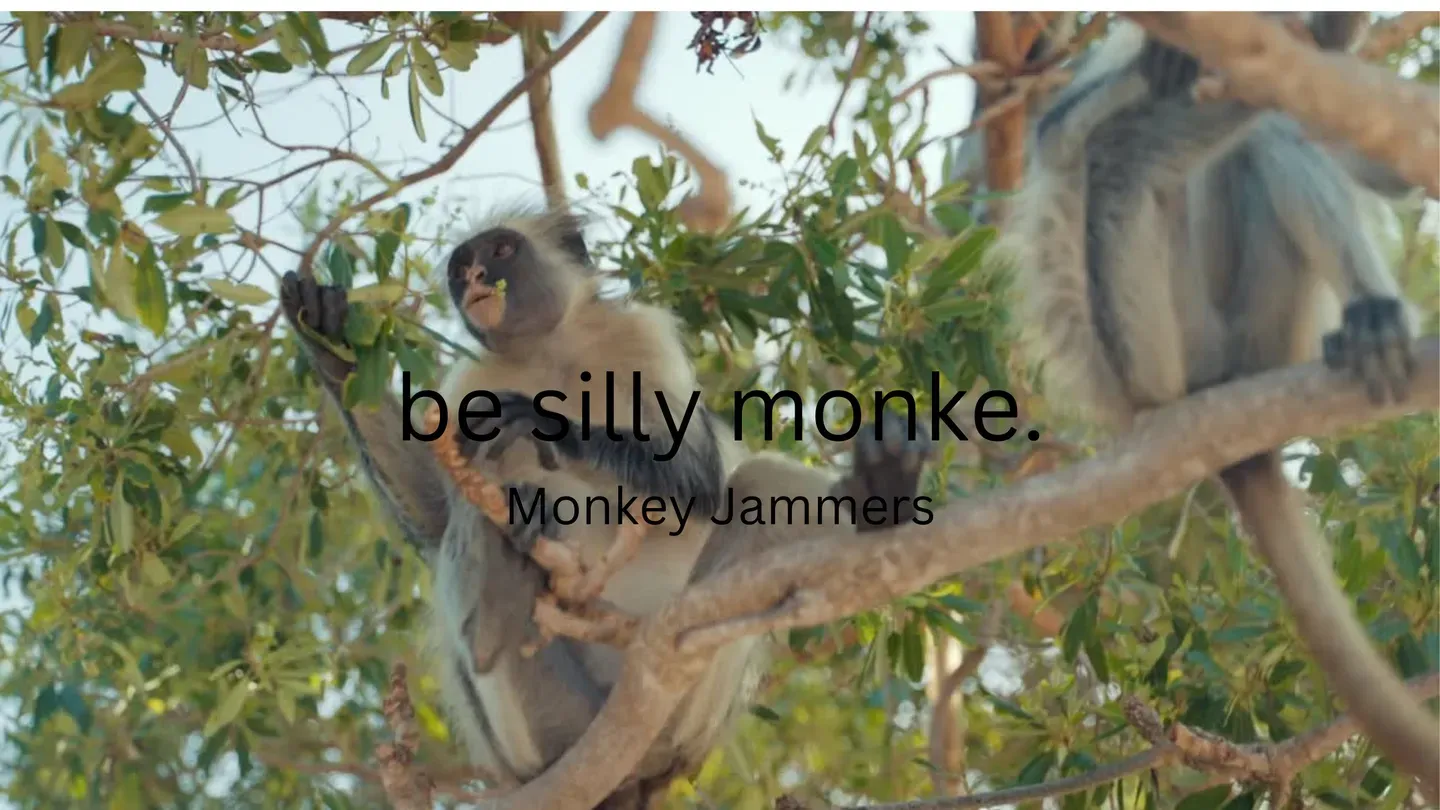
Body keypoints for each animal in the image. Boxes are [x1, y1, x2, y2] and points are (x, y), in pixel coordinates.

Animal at [279, 204, 935, 808]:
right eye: (461, 267)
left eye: (500, 251)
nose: (474, 281)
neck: (548, 350)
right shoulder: (471, 381)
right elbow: (433, 519)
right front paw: (332, 341)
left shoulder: (639, 334)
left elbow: (701, 477)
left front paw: (546, 425)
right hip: (548, 725)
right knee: (469, 528)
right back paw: (495, 612)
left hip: (686, 715)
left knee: (758, 483)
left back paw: (879, 495)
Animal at [992, 13, 1438, 795]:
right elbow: (1056, 133)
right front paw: (1168, 56)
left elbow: (1389, 170)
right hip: (1156, 341)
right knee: (1129, 155)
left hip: (1266, 325)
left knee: (1266, 140)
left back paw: (1368, 325)